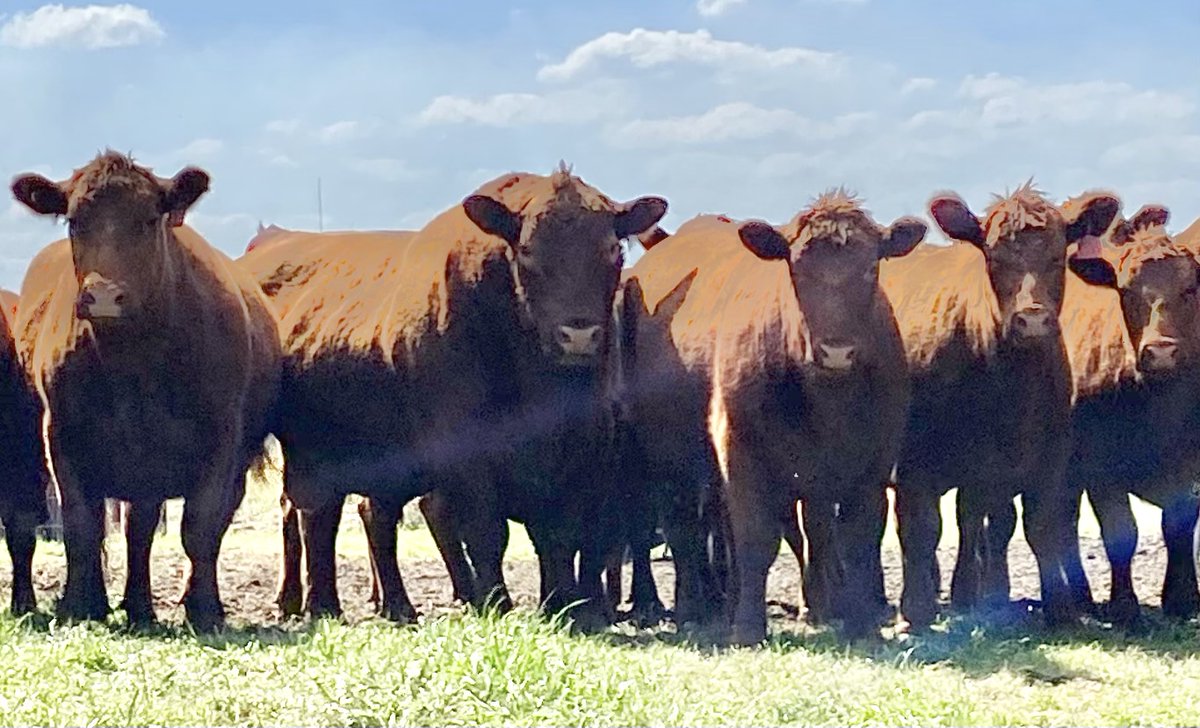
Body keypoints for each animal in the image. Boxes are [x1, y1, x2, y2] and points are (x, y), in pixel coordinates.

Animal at [9, 151, 282, 629]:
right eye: (75, 220)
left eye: (148, 219)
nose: (103, 296)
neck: (135, 363)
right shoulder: (61, 434)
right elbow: (82, 526)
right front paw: (80, 606)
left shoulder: (221, 439)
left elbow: (200, 527)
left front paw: (204, 611)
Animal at [238, 164, 668, 624]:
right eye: (528, 250)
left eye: (613, 250)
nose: (579, 335)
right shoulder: (467, 450)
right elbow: (487, 532)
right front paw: (499, 602)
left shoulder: (580, 448)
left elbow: (560, 535)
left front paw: (563, 606)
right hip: (313, 451)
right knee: (316, 515)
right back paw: (322, 605)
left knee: (362, 514)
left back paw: (392, 605)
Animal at [624, 194, 927, 644]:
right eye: (796, 269)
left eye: (871, 268)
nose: (836, 350)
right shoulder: (741, 447)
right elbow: (755, 539)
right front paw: (748, 627)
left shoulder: (873, 459)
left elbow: (857, 538)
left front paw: (860, 625)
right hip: (665, 455)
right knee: (684, 530)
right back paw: (693, 610)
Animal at [880, 184, 1119, 632]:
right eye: (993, 258)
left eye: (1058, 257)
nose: (1033, 320)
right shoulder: (914, 464)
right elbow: (921, 529)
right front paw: (915, 612)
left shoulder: (1046, 458)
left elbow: (1038, 527)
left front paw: (1060, 609)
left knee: (972, 521)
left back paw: (967, 595)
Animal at [1063, 203, 1200, 624]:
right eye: (1126, 291)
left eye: (1190, 288)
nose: (1160, 351)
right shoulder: (1099, 465)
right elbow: (1120, 532)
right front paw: (1125, 608)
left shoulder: (1190, 464)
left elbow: (1178, 525)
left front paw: (1182, 600)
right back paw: (1082, 599)